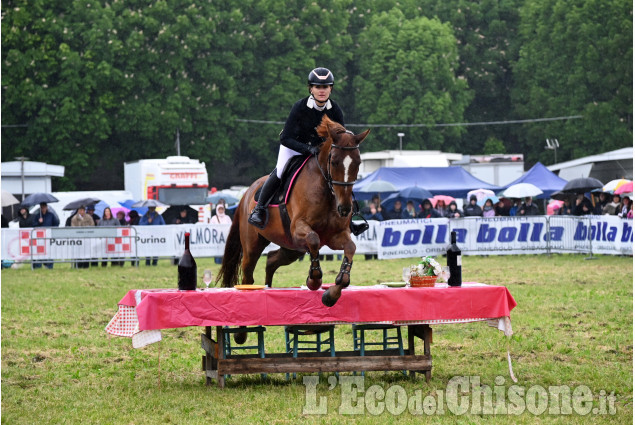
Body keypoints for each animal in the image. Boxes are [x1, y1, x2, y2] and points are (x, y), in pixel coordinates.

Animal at [219, 115, 370, 308]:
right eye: (334, 161)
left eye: (358, 163)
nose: (344, 208)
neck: (327, 193)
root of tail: (246, 194)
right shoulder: (299, 228)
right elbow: (313, 239)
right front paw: (314, 280)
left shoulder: (335, 235)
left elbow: (350, 248)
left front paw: (331, 294)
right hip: (253, 246)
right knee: (248, 274)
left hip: (291, 247)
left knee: (271, 260)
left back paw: (269, 287)